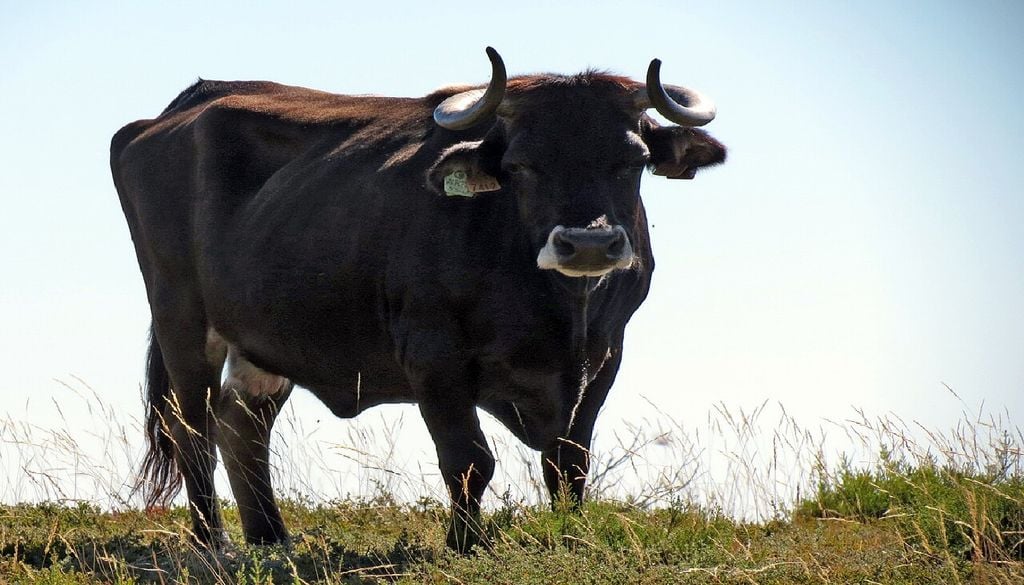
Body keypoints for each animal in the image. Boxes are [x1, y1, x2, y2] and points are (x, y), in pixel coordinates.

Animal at [110, 47, 726, 552]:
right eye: (521, 164)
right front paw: (466, 545)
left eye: (632, 160)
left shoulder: (605, 355)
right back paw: (211, 540)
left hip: (263, 336)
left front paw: (570, 538)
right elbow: (469, 460)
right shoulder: (433, 355)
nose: (589, 242)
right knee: (192, 430)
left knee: (242, 426)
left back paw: (270, 536)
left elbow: (569, 461)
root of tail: (188, 104)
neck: (558, 311)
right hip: (181, 318)